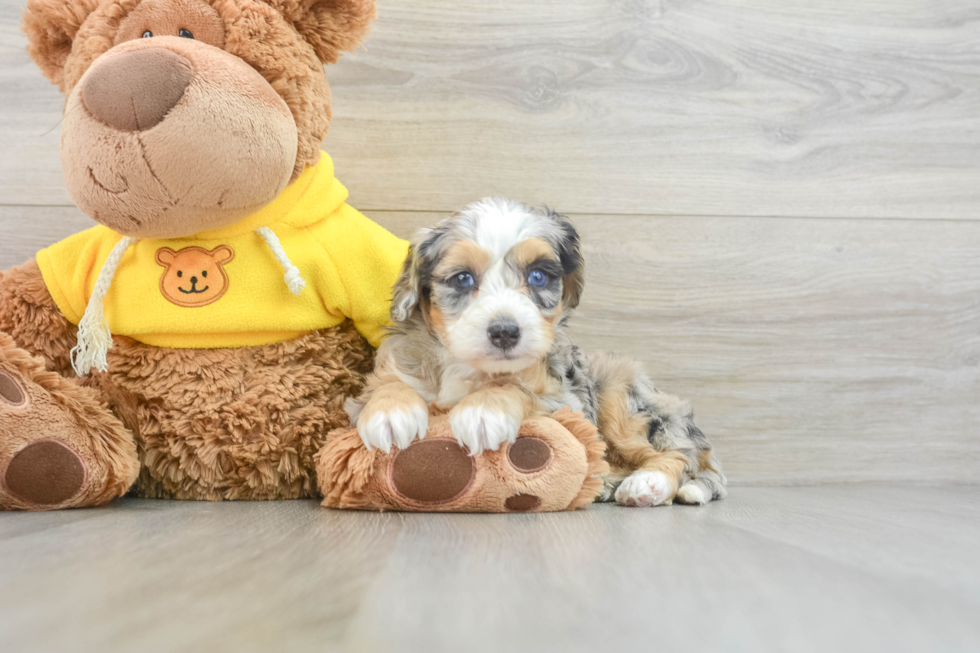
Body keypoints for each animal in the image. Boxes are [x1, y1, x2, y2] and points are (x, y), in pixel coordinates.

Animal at [348, 197, 724, 504]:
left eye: (539, 276)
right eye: (462, 278)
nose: (505, 332)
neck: (469, 367)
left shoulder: (566, 400)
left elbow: (517, 388)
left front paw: (484, 410)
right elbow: (389, 384)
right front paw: (389, 414)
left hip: (624, 402)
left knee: (680, 455)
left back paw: (646, 484)